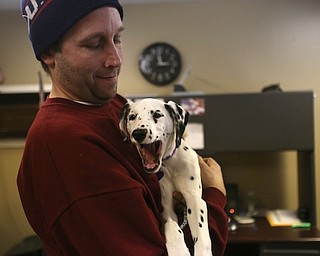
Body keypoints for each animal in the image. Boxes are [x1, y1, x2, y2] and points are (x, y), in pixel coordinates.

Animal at [119, 98, 211, 256]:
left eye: (157, 114)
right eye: (132, 117)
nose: (139, 133)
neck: (170, 164)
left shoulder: (195, 200)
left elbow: (201, 234)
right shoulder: (166, 209)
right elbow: (172, 227)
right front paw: (178, 250)